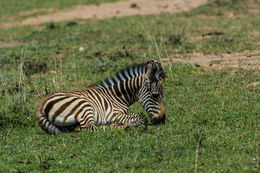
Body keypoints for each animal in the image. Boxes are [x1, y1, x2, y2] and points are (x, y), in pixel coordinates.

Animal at [35, 60, 166, 134]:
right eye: (155, 95)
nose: (162, 120)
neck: (117, 96)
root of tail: (41, 105)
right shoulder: (115, 114)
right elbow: (140, 118)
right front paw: (126, 124)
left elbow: (138, 117)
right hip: (84, 106)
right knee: (88, 128)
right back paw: (119, 126)